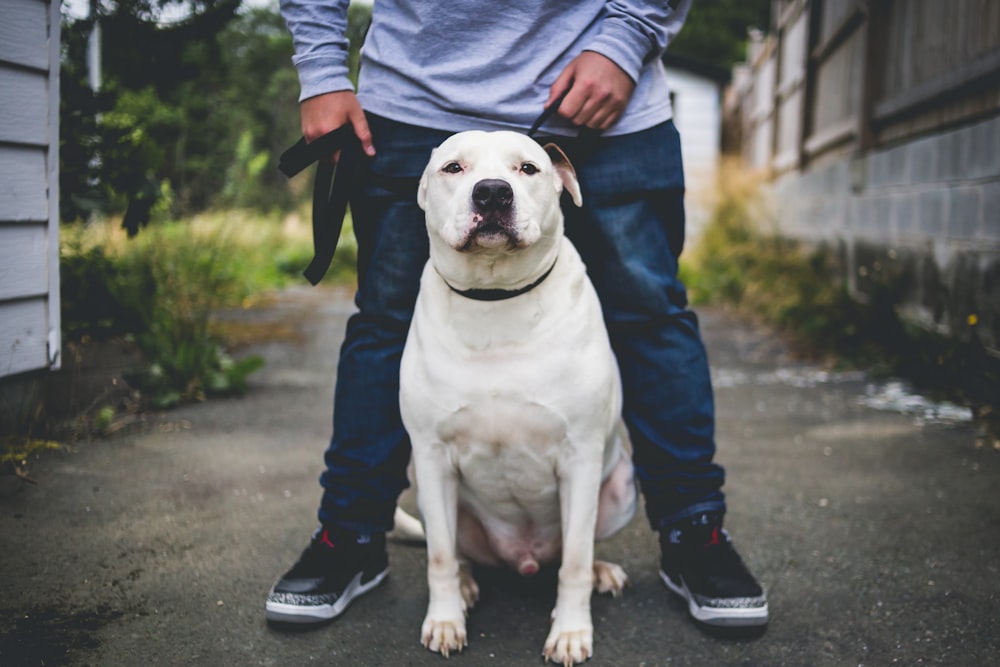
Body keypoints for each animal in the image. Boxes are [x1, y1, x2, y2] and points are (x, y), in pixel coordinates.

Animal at [398, 132, 632, 667]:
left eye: (528, 168)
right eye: (453, 168)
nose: (491, 193)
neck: (495, 297)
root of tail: (523, 560)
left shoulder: (581, 457)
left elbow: (575, 563)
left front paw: (571, 632)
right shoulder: (432, 456)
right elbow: (439, 556)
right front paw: (445, 621)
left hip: (620, 488)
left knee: (576, 551)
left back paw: (602, 571)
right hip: (430, 490)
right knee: (458, 551)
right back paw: (466, 584)